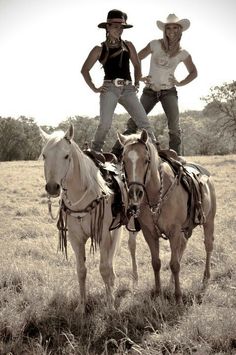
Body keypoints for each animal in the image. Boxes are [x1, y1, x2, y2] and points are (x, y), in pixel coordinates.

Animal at [40, 125, 125, 314]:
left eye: (66, 155)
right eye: (44, 155)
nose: (52, 187)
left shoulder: (103, 235)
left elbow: (104, 268)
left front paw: (110, 306)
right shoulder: (75, 238)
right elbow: (81, 271)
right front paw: (81, 306)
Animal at [119, 130, 217, 304]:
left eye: (146, 160)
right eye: (124, 161)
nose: (135, 193)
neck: (156, 197)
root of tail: (207, 175)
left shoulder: (174, 231)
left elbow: (175, 264)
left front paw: (178, 297)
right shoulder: (149, 233)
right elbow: (156, 263)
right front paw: (158, 293)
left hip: (209, 222)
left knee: (208, 246)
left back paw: (205, 278)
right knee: (182, 246)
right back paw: (171, 281)